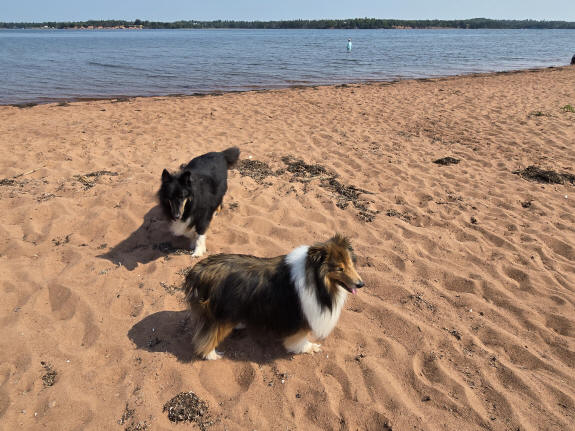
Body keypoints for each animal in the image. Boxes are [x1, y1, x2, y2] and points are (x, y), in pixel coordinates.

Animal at [183, 234, 364, 360]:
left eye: (351, 264)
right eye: (339, 268)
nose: (361, 284)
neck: (316, 279)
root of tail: (198, 271)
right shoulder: (301, 318)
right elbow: (300, 339)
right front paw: (308, 347)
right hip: (221, 316)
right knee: (207, 337)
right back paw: (211, 354)